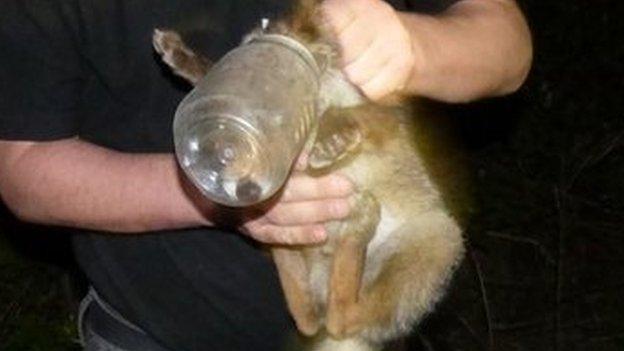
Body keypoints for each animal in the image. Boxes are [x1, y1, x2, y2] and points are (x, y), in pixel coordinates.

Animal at [152, 1, 468, 350]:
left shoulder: (384, 118)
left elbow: (355, 116)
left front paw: (332, 139)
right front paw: (182, 57)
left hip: (439, 240)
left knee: (338, 318)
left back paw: (358, 225)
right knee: (310, 317)